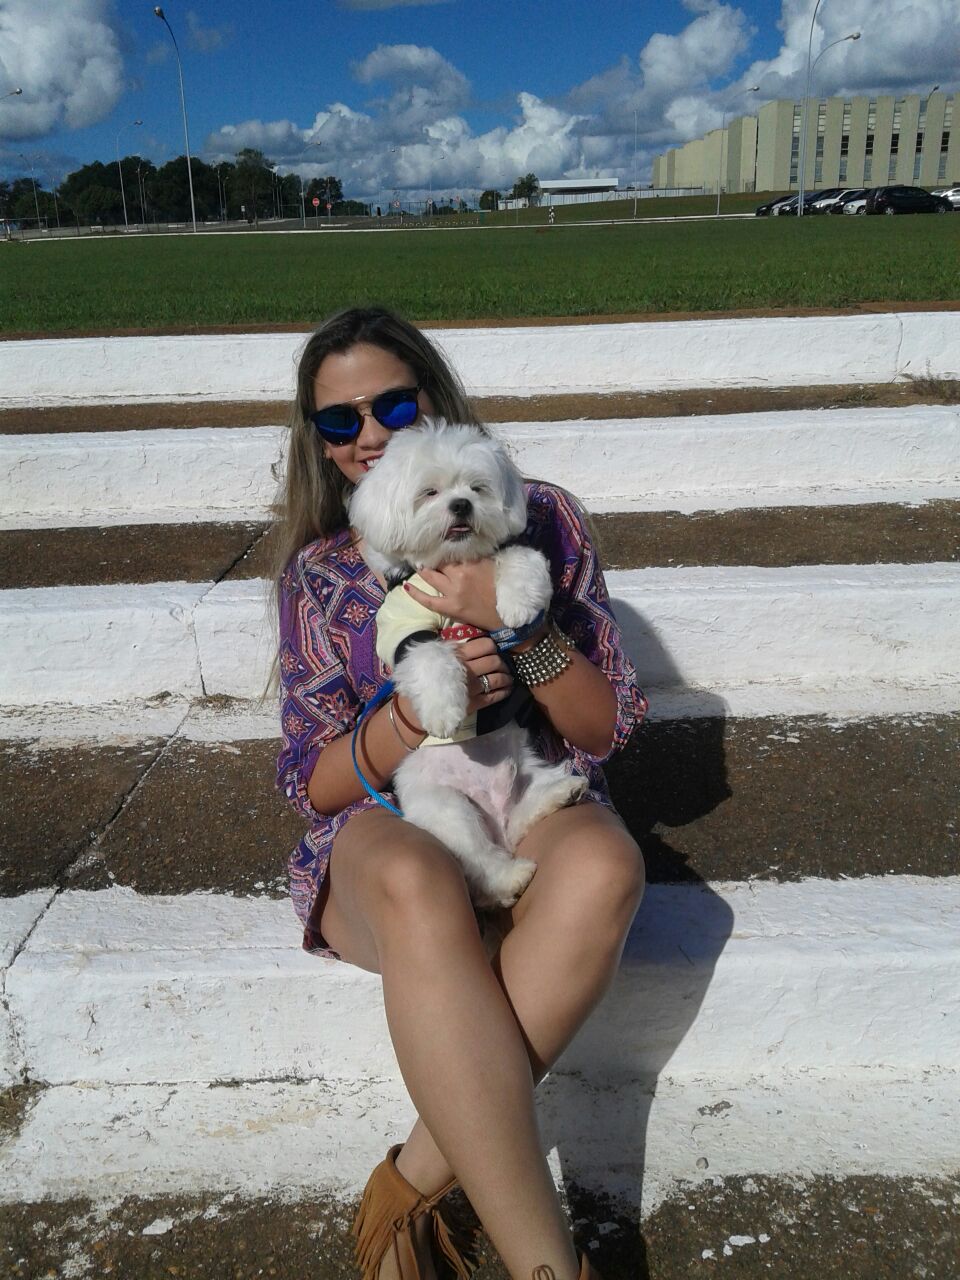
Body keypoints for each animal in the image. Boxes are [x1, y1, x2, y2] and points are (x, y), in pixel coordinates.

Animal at [348, 420, 588, 907]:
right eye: (430, 492)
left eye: (477, 488)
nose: (461, 504)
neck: (450, 566)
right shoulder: (403, 627)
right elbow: (429, 655)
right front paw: (445, 710)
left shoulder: (508, 554)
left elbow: (519, 558)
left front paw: (517, 605)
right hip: (447, 807)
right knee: (479, 857)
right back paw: (510, 877)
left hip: (529, 766)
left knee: (522, 814)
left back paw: (561, 792)